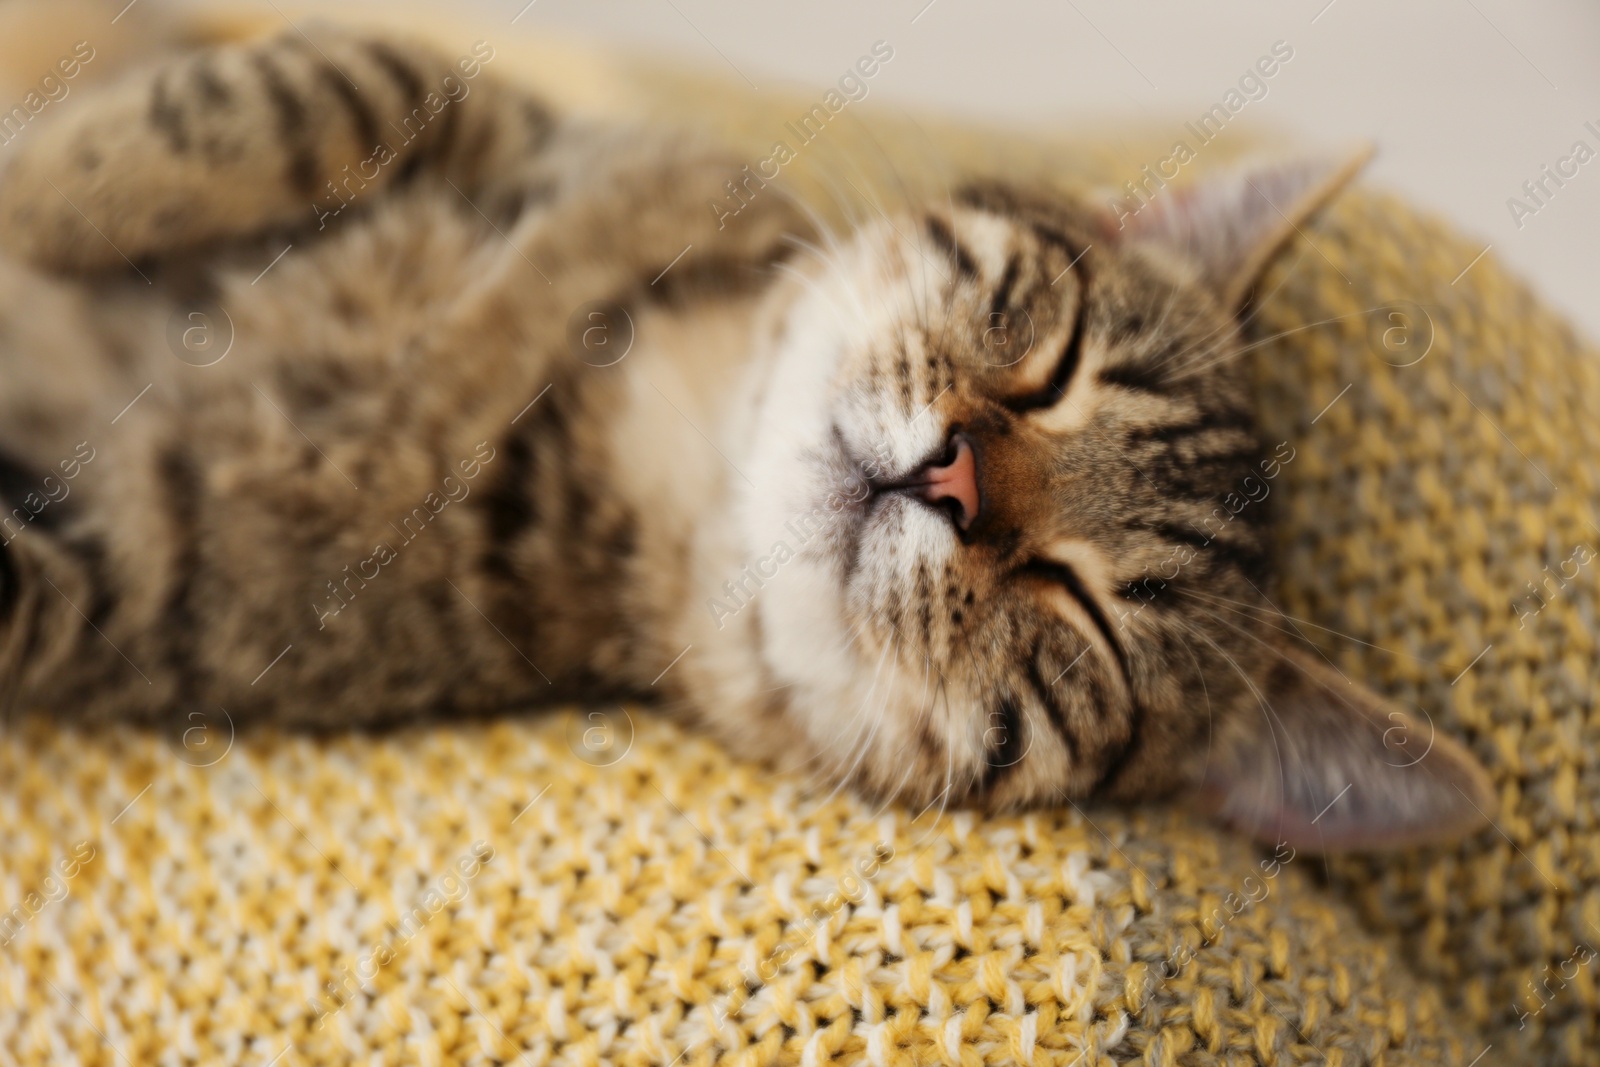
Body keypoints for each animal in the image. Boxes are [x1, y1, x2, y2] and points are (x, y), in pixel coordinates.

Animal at [0, 24, 1484, 851]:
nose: (953, 473)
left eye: (1085, 615)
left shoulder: (138, 590)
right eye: (1057, 363)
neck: (654, 442)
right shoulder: (486, 113)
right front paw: (59, 188)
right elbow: (331, 85)